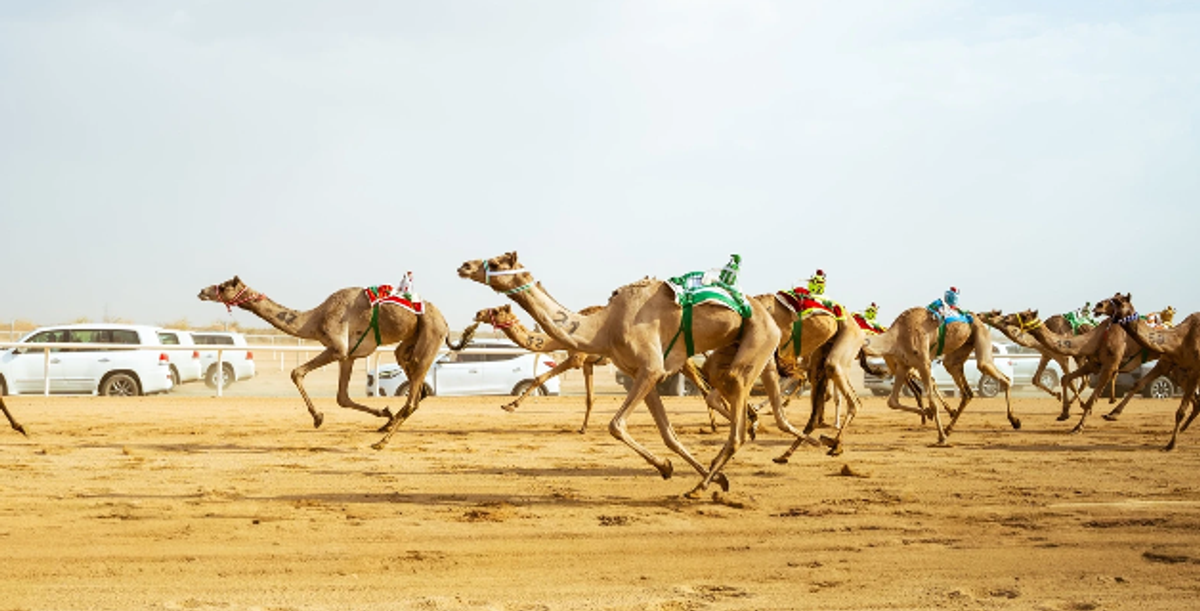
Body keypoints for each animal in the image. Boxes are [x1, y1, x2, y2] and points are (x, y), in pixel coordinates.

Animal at [199, 277, 463, 447]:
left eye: (223, 286)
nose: (202, 291)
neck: (313, 319)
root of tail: (445, 321)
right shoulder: (349, 355)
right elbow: (342, 398)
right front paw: (384, 412)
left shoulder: (337, 348)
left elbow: (296, 372)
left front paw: (318, 418)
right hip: (411, 339)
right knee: (412, 379)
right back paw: (386, 426)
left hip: (431, 333)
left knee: (413, 393)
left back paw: (382, 442)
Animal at [457, 252, 781, 497]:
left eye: (496, 262)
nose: (465, 266)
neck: (603, 326)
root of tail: (766, 313)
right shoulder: (642, 374)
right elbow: (668, 435)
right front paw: (694, 472)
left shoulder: (648, 368)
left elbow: (615, 424)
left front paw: (672, 470)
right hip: (729, 347)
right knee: (716, 384)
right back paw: (737, 439)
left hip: (761, 337)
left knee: (734, 404)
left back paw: (702, 483)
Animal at [859, 307, 1015, 445]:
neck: (896, 336)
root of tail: (977, 317)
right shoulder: (903, 366)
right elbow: (892, 401)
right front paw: (928, 415)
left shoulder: (923, 363)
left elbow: (933, 403)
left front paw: (941, 438)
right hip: (960, 351)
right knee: (965, 388)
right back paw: (949, 428)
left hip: (981, 335)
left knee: (997, 374)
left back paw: (1014, 420)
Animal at [1105, 294, 1200, 449]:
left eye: (1118, 301)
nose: (1098, 306)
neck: (1180, 340)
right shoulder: (1166, 362)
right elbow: (1138, 384)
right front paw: (1112, 414)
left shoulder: (1195, 369)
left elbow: (1180, 411)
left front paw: (1171, 444)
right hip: (1179, 372)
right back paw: (1183, 428)